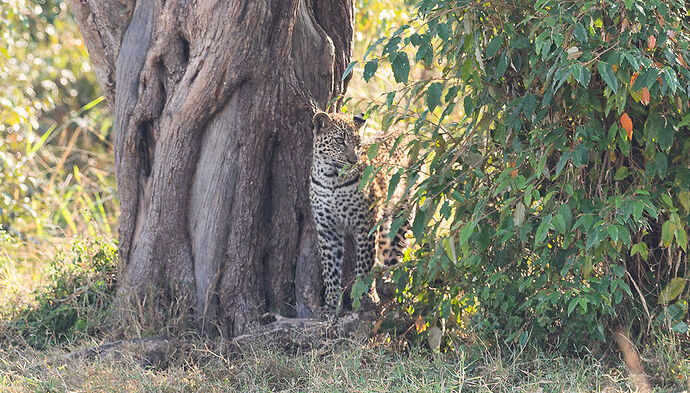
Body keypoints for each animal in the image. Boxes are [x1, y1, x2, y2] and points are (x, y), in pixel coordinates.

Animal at [310, 109, 412, 312]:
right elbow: (330, 267)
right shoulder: (327, 229)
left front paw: (365, 296)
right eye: (339, 141)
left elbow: (365, 262)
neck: (330, 179)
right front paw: (331, 304)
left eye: (357, 144)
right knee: (386, 244)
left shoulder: (366, 222)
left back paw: (392, 281)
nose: (353, 160)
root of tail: (404, 130)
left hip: (403, 210)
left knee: (397, 248)